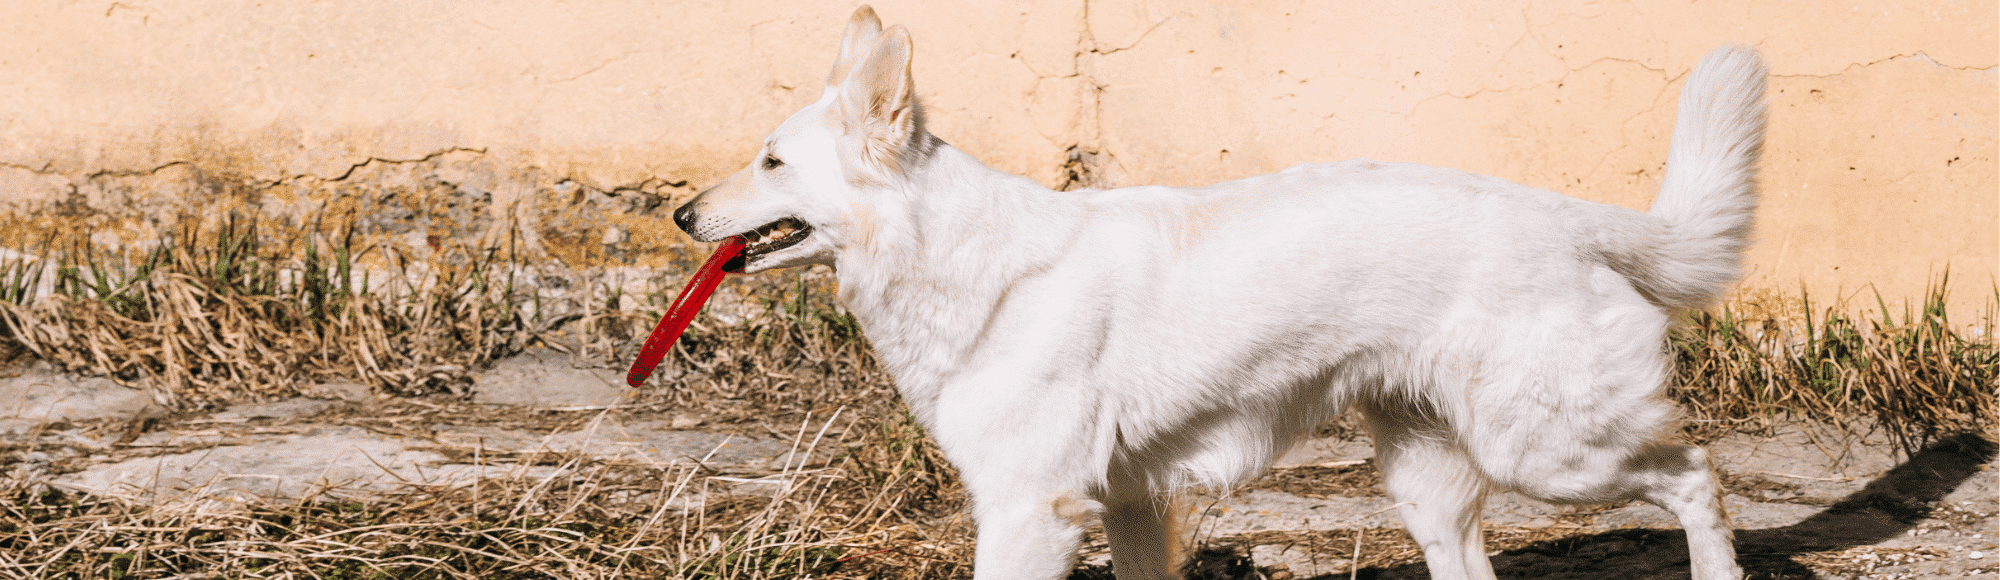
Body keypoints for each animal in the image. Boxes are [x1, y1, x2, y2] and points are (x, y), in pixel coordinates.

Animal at [676, 6, 1768, 576]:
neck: (964, 259)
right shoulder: (1126, 503)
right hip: (1434, 482)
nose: (683, 217)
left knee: (1694, 475)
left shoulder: (1029, 507)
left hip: (1551, 449)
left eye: (771, 162)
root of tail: (1560, 214)